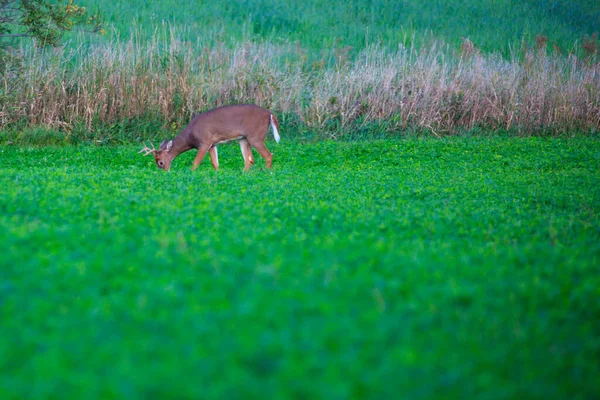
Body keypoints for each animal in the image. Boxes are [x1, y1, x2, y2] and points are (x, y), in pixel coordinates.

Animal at [141, 104, 282, 171]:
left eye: (160, 162)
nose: (165, 172)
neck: (190, 136)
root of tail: (270, 114)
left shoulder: (204, 142)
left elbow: (195, 163)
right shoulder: (212, 144)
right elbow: (215, 163)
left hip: (255, 136)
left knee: (268, 155)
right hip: (243, 138)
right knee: (249, 160)